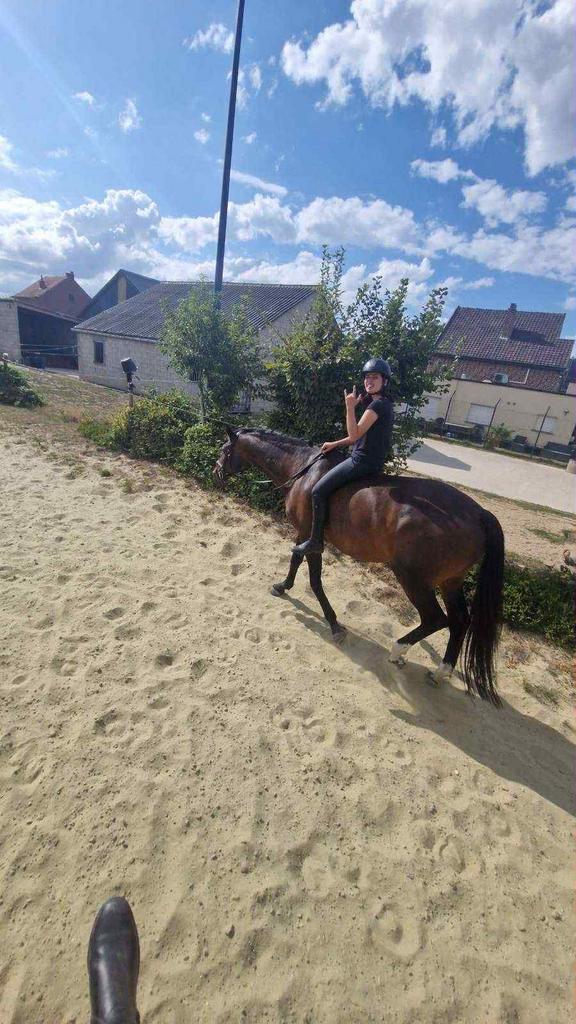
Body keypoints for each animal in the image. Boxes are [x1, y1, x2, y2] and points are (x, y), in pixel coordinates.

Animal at [213, 426, 505, 707]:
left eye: (225, 449)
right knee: (460, 620)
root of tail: (480, 513)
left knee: (436, 618)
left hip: (413, 578)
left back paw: (398, 651)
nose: (216, 473)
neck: (303, 469)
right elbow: (295, 559)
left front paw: (334, 624)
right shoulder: (303, 534)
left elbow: (315, 579)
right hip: (450, 580)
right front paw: (282, 586)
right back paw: (441, 671)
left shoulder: (311, 537)